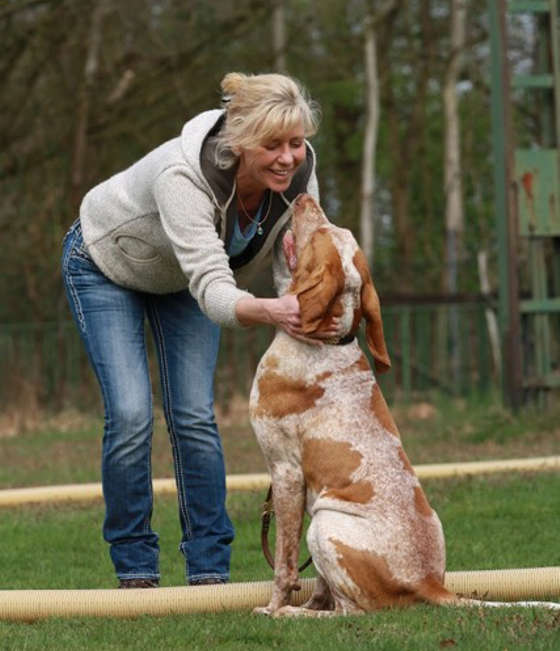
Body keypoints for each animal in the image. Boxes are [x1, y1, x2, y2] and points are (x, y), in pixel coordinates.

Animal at [250, 192, 560, 616]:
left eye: (322, 232)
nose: (303, 196)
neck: (325, 342)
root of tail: (429, 583)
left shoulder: (285, 472)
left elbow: (283, 563)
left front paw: (272, 606)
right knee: (328, 593)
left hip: (325, 524)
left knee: (348, 613)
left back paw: (290, 614)